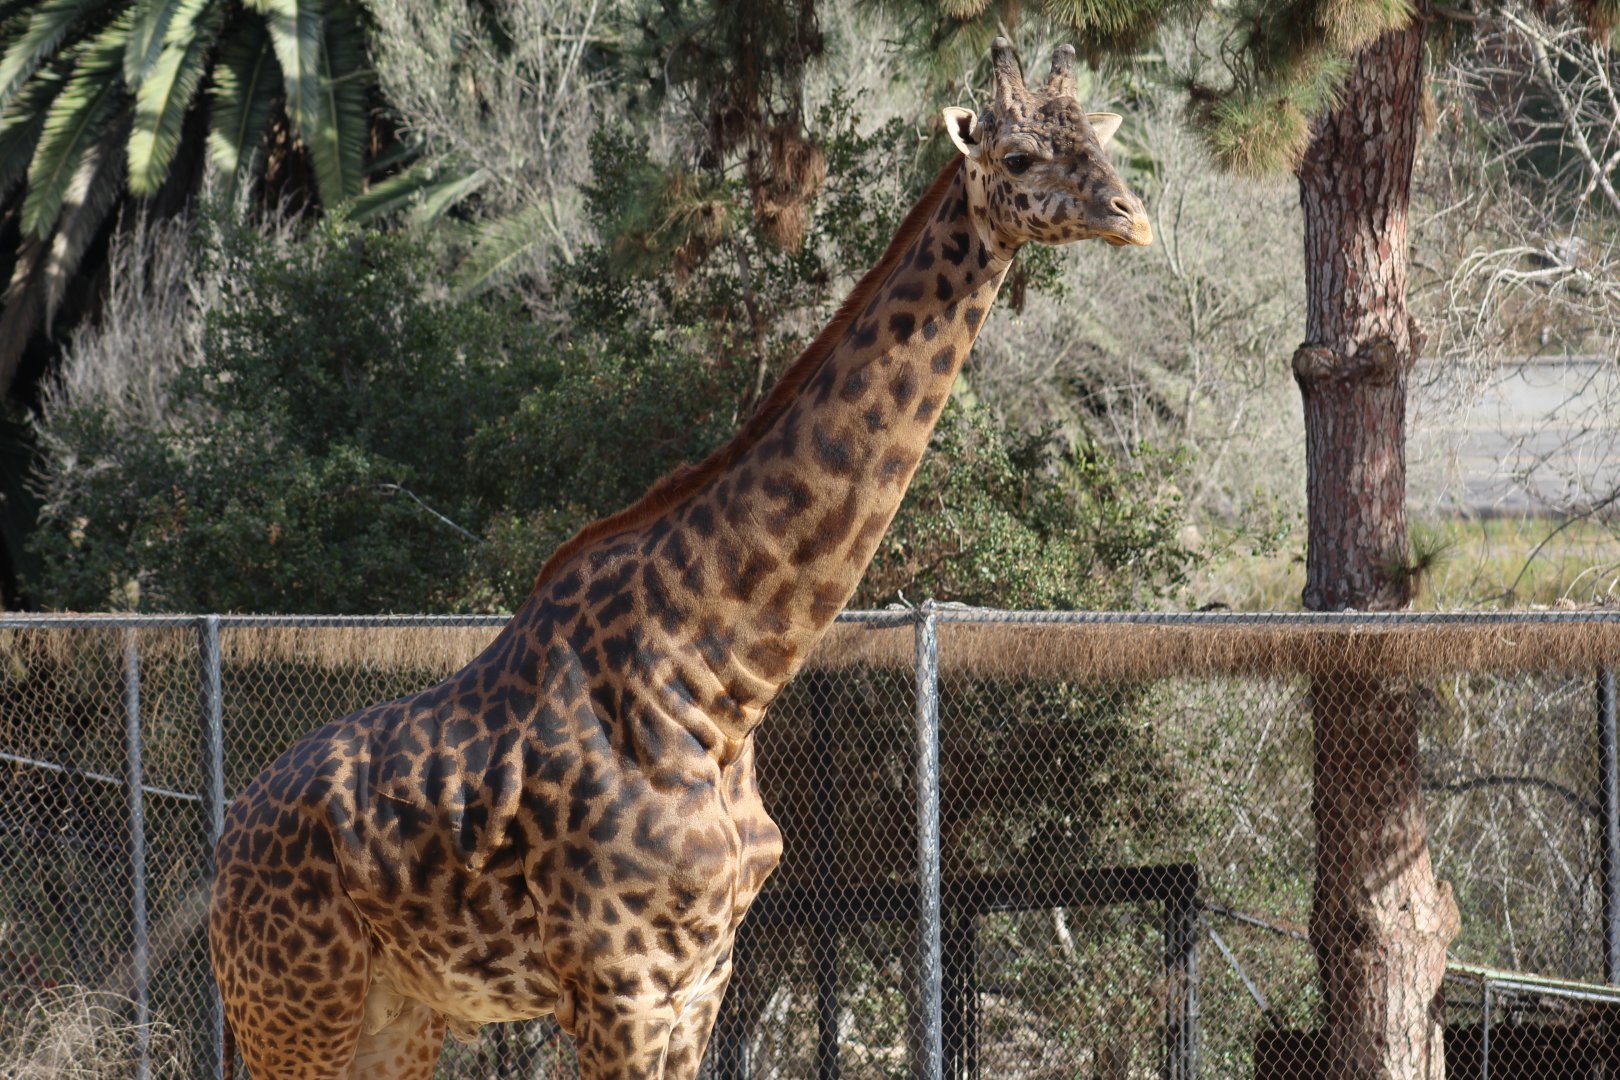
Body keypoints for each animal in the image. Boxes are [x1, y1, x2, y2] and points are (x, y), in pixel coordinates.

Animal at [207, 38, 1151, 1080]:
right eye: (1018, 156)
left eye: (1100, 143)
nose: (1133, 216)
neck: (720, 687)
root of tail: (223, 848)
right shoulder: (615, 981)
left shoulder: (703, 975)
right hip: (297, 1007)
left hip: (398, 1012)